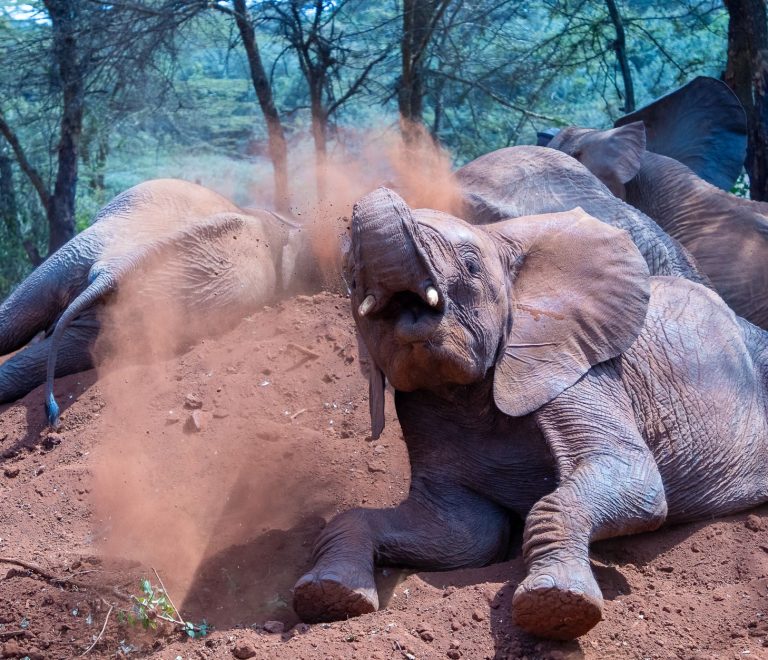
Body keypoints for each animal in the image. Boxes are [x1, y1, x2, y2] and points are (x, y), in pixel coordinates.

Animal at [292, 187, 768, 640]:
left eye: (470, 265)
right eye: (353, 280)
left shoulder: (578, 368)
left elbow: (635, 482)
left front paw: (556, 608)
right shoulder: (424, 407)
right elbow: (463, 532)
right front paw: (327, 597)